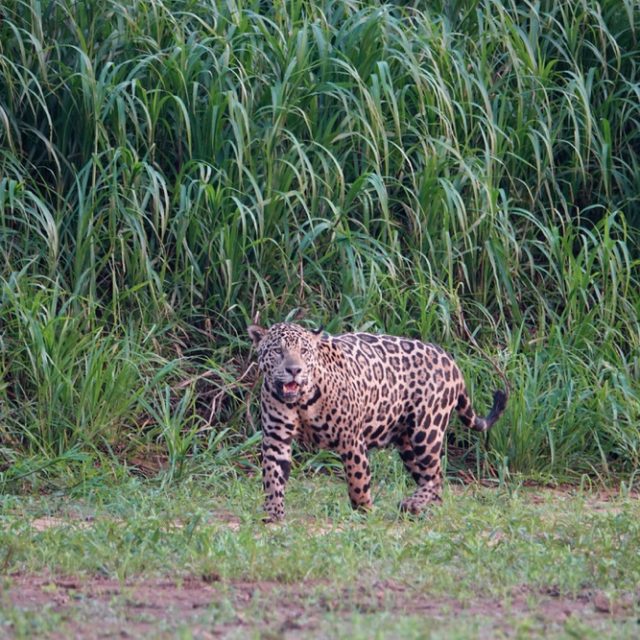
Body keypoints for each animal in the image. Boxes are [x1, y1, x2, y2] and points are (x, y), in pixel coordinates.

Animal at [248, 321, 508, 521]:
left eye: (303, 351)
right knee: (431, 479)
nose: (294, 370)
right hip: (407, 443)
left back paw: (413, 504)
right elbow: (272, 477)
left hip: (426, 431)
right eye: (277, 351)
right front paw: (273, 513)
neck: (300, 402)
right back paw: (421, 507)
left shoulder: (351, 440)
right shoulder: (276, 439)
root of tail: (448, 358)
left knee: (436, 476)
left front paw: (364, 510)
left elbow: (358, 479)